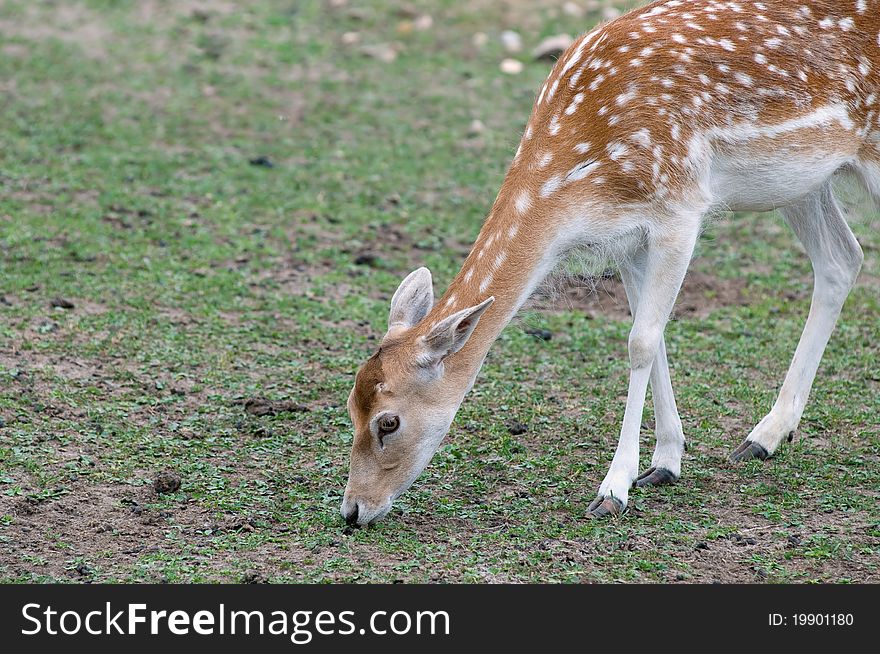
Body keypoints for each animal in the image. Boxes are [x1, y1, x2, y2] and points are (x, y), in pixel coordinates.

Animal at [340, 0, 876, 524]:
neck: (582, 179)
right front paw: (665, 463)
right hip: (801, 184)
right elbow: (654, 336)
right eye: (349, 406)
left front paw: (613, 488)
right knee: (841, 258)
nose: (353, 509)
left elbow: (641, 342)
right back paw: (765, 436)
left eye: (389, 422)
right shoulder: (629, 238)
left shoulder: (680, 210)